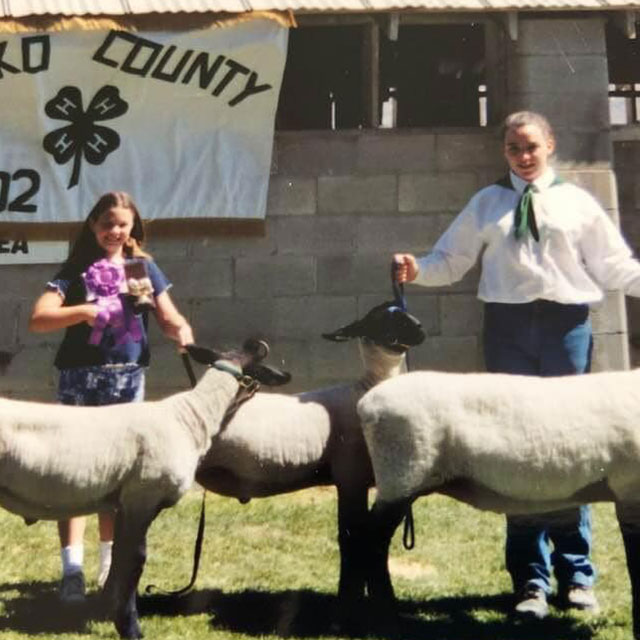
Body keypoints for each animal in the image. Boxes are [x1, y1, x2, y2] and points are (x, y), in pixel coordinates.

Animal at [0, 342, 288, 640]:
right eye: (259, 371)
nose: (285, 375)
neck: (192, 416)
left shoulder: (123, 501)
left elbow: (118, 560)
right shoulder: (142, 496)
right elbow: (134, 561)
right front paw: (131, 628)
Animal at [195, 302, 424, 624]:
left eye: (404, 310)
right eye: (381, 319)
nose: (420, 330)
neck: (364, 391)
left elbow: (365, 539)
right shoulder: (350, 477)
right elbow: (351, 538)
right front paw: (347, 609)